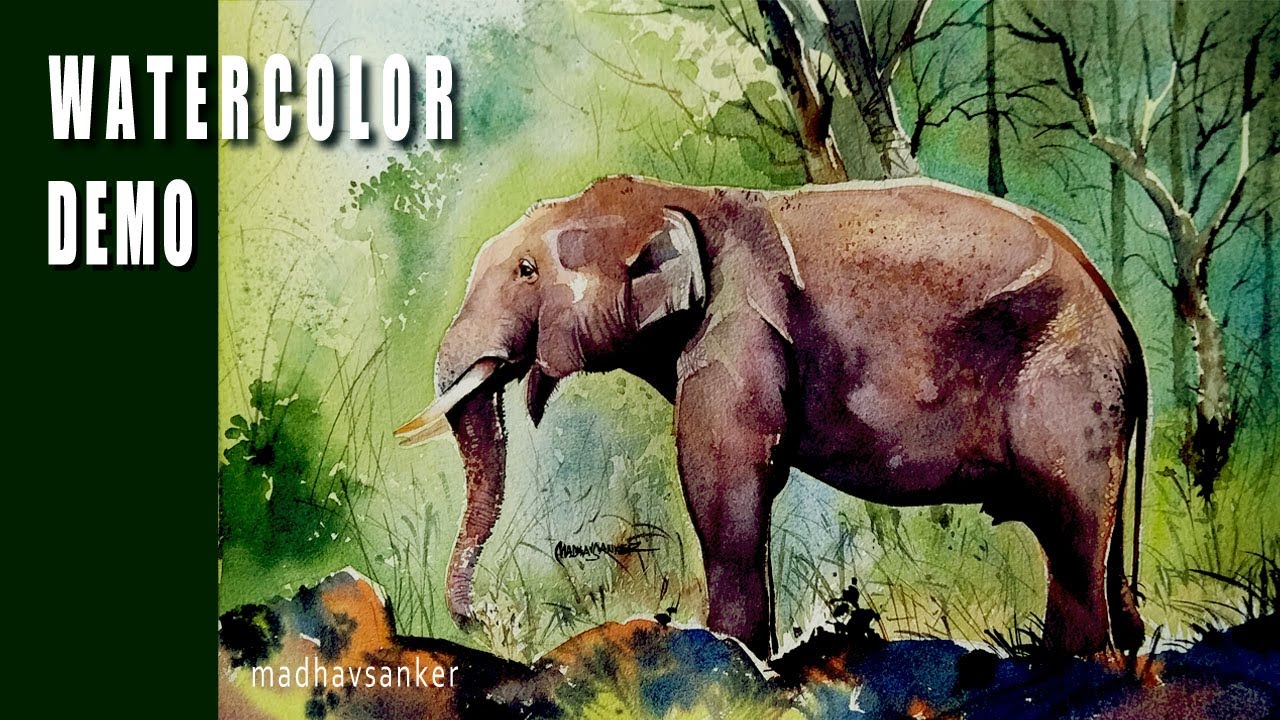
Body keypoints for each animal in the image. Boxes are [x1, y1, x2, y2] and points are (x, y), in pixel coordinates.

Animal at [395, 175, 1147, 659]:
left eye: (526, 271)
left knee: (1070, 526)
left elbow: (723, 478)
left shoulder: (740, 327)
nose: (478, 620)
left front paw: (738, 657)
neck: (678, 198)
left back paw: (1068, 667)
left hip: (1064, 387)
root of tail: (1120, 313)